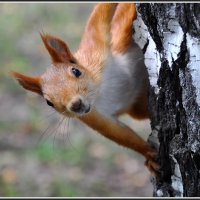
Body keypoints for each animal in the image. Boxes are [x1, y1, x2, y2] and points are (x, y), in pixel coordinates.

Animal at [10, 2, 159, 175]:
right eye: (48, 102)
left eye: (76, 71)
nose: (76, 104)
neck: (99, 93)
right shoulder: (93, 116)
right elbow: (119, 134)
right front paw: (147, 154)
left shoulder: (95, 52)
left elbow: (98, 20)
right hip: (137, 107)